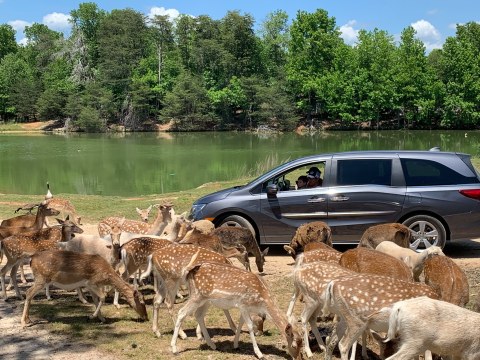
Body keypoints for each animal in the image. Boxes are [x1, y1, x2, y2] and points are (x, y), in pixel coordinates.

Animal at [171, 255, 302, 358]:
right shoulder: (243, 304)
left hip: (206, 300)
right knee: (181, 312)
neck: (262, 300)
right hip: (197, 295)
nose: (298, 358)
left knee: (198, 315)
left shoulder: (244, 307)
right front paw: (259, 354)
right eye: (294, 345)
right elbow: (249, 326)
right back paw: (174, 349)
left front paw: (235, 345)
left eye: (303, 343)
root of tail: (188, 273)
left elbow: (240, 324)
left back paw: (212, 345)